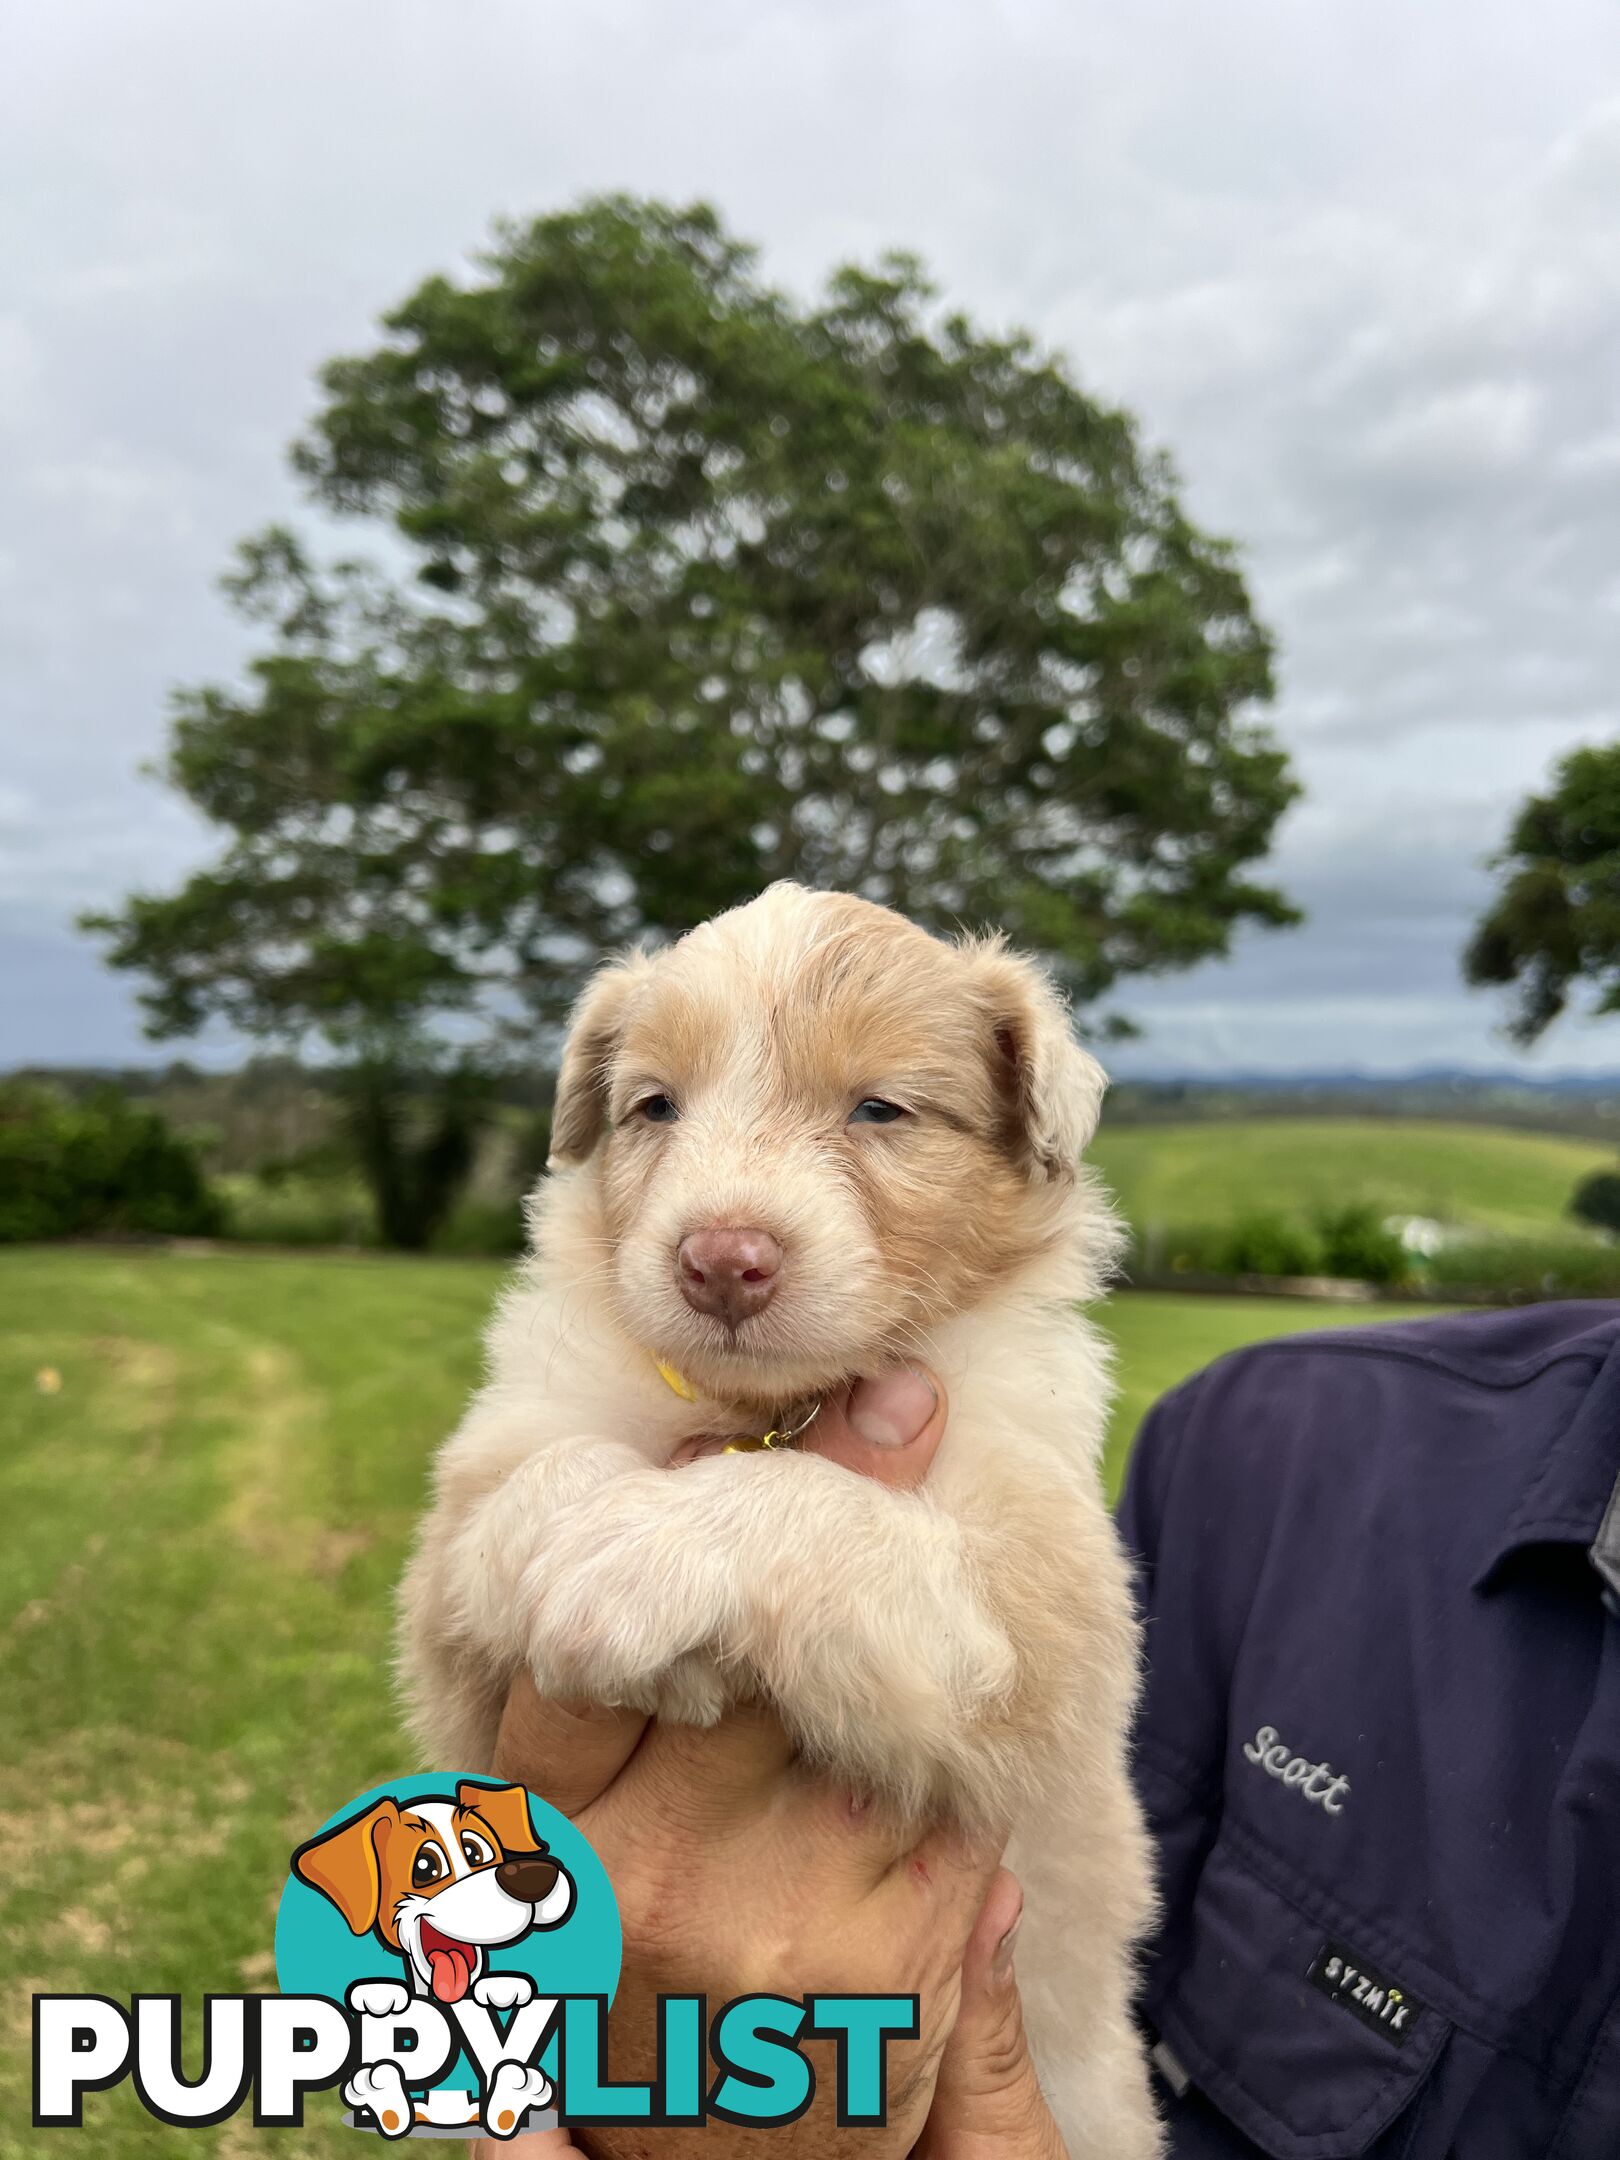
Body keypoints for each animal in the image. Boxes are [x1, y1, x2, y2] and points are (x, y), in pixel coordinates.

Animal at [403, 885, 1166, 2151]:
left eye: (879, 1109)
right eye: (655, 1106)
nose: (722, 1261)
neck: (767, 1408)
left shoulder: (1046, 1617)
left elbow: (824, 1506)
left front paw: (631, 1563)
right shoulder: (463, 1541)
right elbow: (539, 1478)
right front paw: (591, 1536)